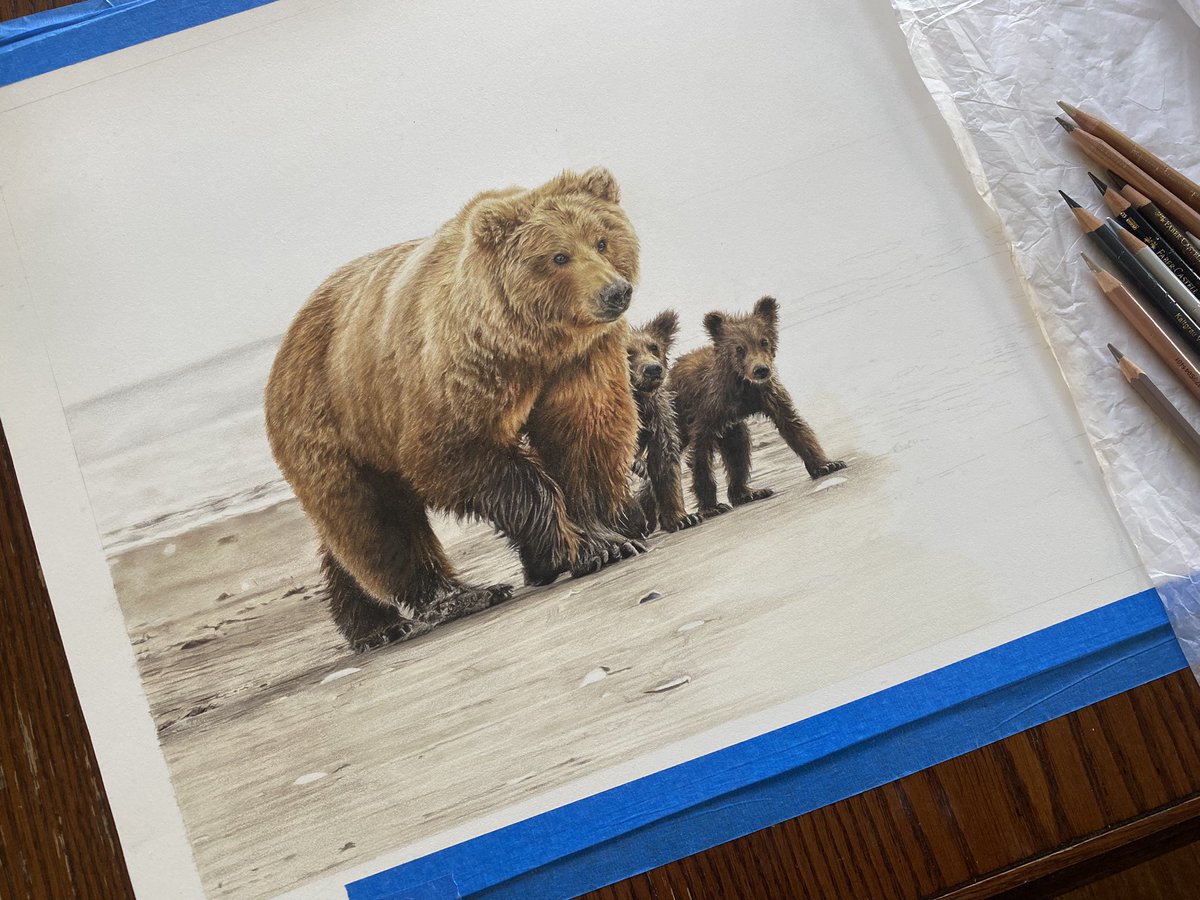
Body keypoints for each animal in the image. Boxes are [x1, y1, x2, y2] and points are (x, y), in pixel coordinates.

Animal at [264, 168, 647, 652]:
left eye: (602, 240)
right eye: (559, 256)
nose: (615, 292)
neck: (528, 346)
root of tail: (288, 339)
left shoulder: (578, 363)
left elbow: (585, 436)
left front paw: (609, 537)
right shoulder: (458, 378)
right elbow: (457, 456)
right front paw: (576, 548)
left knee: (350, 536)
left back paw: (373, 626)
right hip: (334, 418)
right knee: (378, 518)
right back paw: (461, 595)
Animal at [626, 310, 703, 533]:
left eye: (654, 347)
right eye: (628, 352)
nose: (653, 369)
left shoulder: (659, 418)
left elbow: (665, 463)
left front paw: (682, 518)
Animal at [667, 296, 846, 516]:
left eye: (764, 341)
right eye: (739, 348)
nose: (761, 369)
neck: (743, 387)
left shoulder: (769, 395)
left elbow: (793, 425)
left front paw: (827, 464)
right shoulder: (708, 408)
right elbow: (701, 451)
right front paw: (711, 506)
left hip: (731, 428)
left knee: (738, 450)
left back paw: (748, 493)